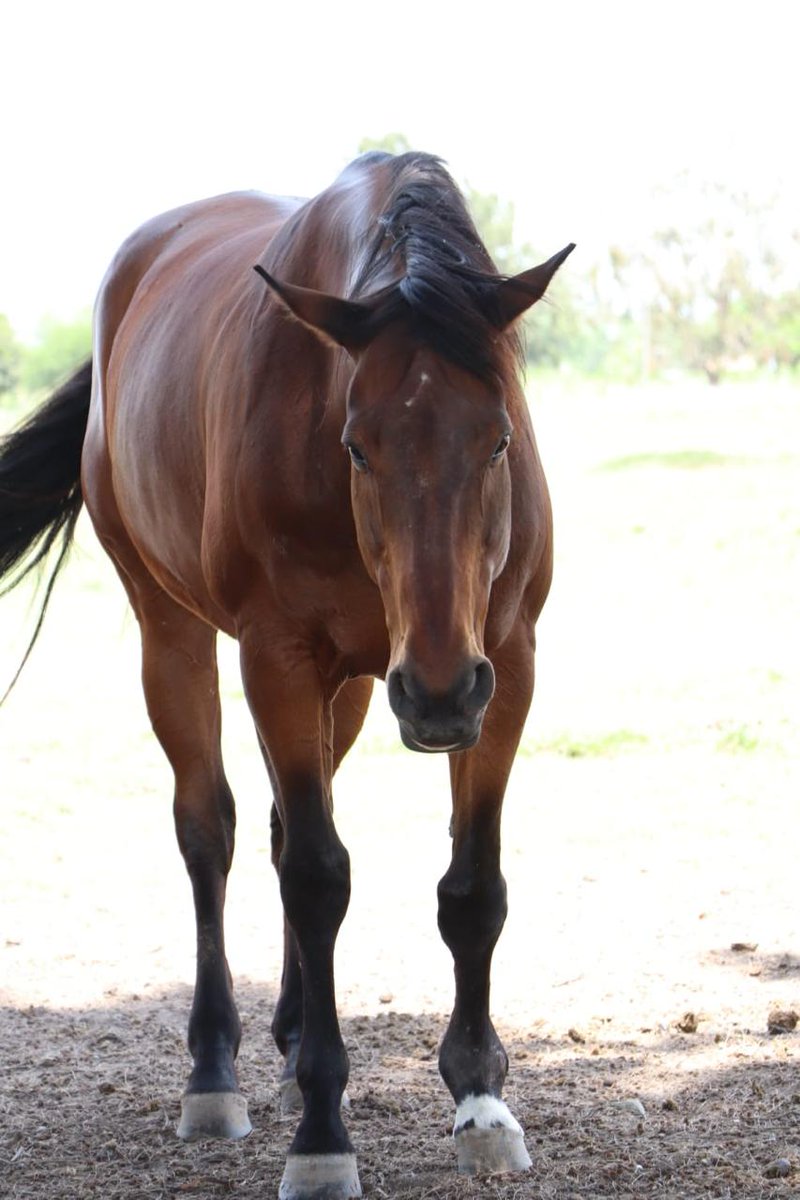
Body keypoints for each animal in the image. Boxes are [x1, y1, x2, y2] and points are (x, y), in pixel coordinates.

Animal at [0, 151, 573, 1199]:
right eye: (358, 445)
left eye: (500, 440)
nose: (438, 694)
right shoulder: (279, 659)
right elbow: (315, 877)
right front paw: (321, 1132)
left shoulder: (504, 665)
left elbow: (472, 888)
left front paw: (480, 1101)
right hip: (178, 636)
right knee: (212, 833)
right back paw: (215, 1071)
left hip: (358, 688)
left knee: (275, 826)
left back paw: (296, 1030)